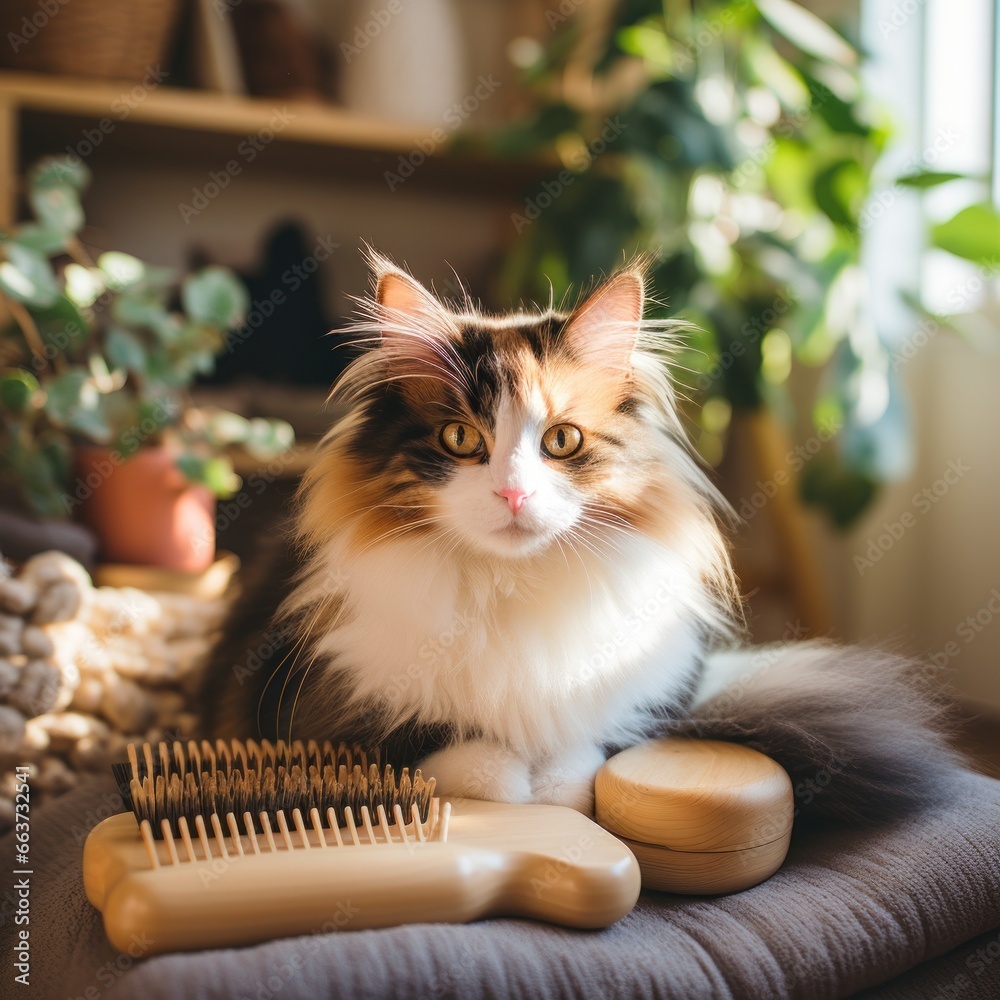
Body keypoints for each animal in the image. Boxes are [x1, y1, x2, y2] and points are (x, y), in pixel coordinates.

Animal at [199, 250, 956, 820]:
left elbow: (584, 753)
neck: (511, 585)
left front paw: (554, 785)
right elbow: (447, 747)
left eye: (561, 440)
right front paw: (509, 782)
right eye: (460, 439)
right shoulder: (312, 704)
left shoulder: (643, 691)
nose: (513, 492)